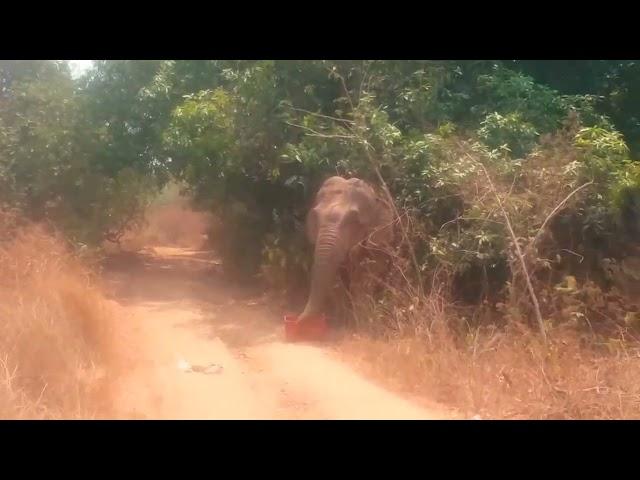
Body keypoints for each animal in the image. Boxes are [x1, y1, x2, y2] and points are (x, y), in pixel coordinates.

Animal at [298, 174, 396, 324]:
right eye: (315, 216)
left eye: (354, 220)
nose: (295, 321)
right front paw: (342, 320)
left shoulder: (380, 239)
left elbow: (367, 274)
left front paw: (362, 320)